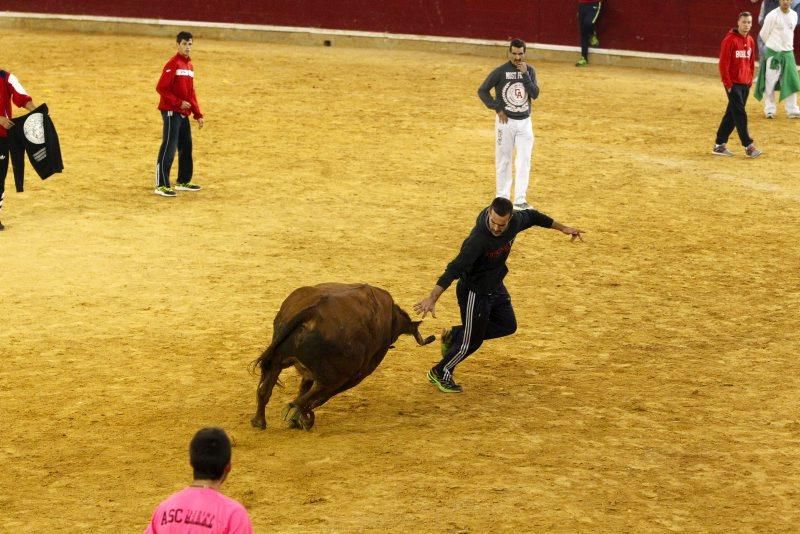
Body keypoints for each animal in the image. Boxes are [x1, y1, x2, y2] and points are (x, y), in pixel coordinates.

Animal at [253, 284, 434, 432]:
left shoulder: (309, 372)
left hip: (278, 360)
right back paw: (295, 413)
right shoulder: (358, 374)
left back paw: (259, 421)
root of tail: (312, 311)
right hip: (338, 375)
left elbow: (304, 388)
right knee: (316, 392)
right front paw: (303, 418)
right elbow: (318, 397)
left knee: (265, 390)